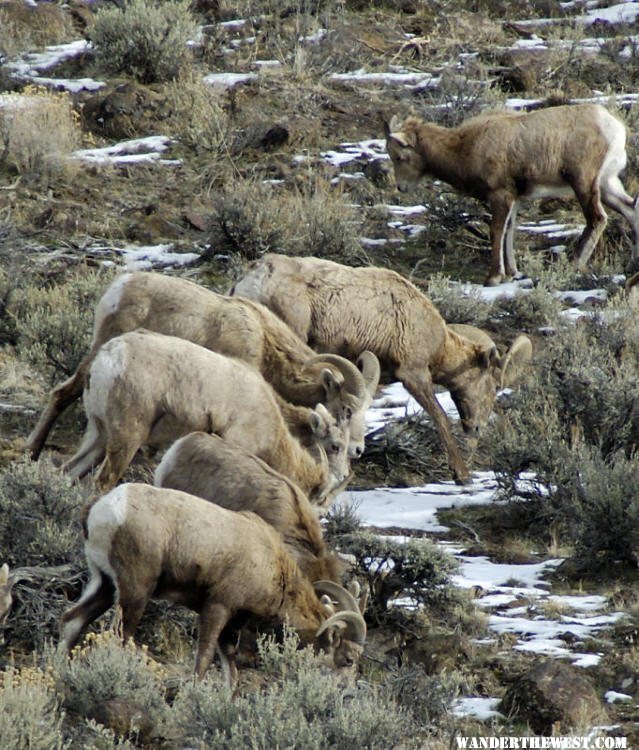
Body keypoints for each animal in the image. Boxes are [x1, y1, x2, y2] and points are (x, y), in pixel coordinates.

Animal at [28, 274, 380, 462]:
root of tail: (119, 287)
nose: (357, 450)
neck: (262, 338)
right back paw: (32, 452)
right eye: (347, 409)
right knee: (62, 394)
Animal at [61, 328, 350, 500]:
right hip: (126, 438)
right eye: (335, 446)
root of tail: (106, 358)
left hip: (98, 436)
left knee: (69, 471)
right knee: (102, 483)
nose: (345, 474)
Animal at [63, 484, 370, 684]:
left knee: (72, 620)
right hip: (135, 592)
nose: (345, 691)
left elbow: (230, 668)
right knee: (120, 636)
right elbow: (204, 658)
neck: (272, 567)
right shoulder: (217, 608)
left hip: (104, 584)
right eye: (348, 659)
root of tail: (102, 508)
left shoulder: (233, 624)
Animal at [232, 256, 532, 484]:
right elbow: (440, 419)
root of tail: (255, 279)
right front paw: (462, 476)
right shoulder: (414, 375)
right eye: (494, 385)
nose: (476, 428)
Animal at [384, 103, 639, 284]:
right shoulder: (514, 200)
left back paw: (573, 265)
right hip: (607, 185)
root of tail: (615, 129)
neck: (464, 148)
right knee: (630, 210)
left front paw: (494, 277)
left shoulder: (500, 196)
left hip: (584, 183)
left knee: (598, 219)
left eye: (399, 157)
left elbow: (496, 230)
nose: (401, 187)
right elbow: (509, 230)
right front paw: (512, 273)